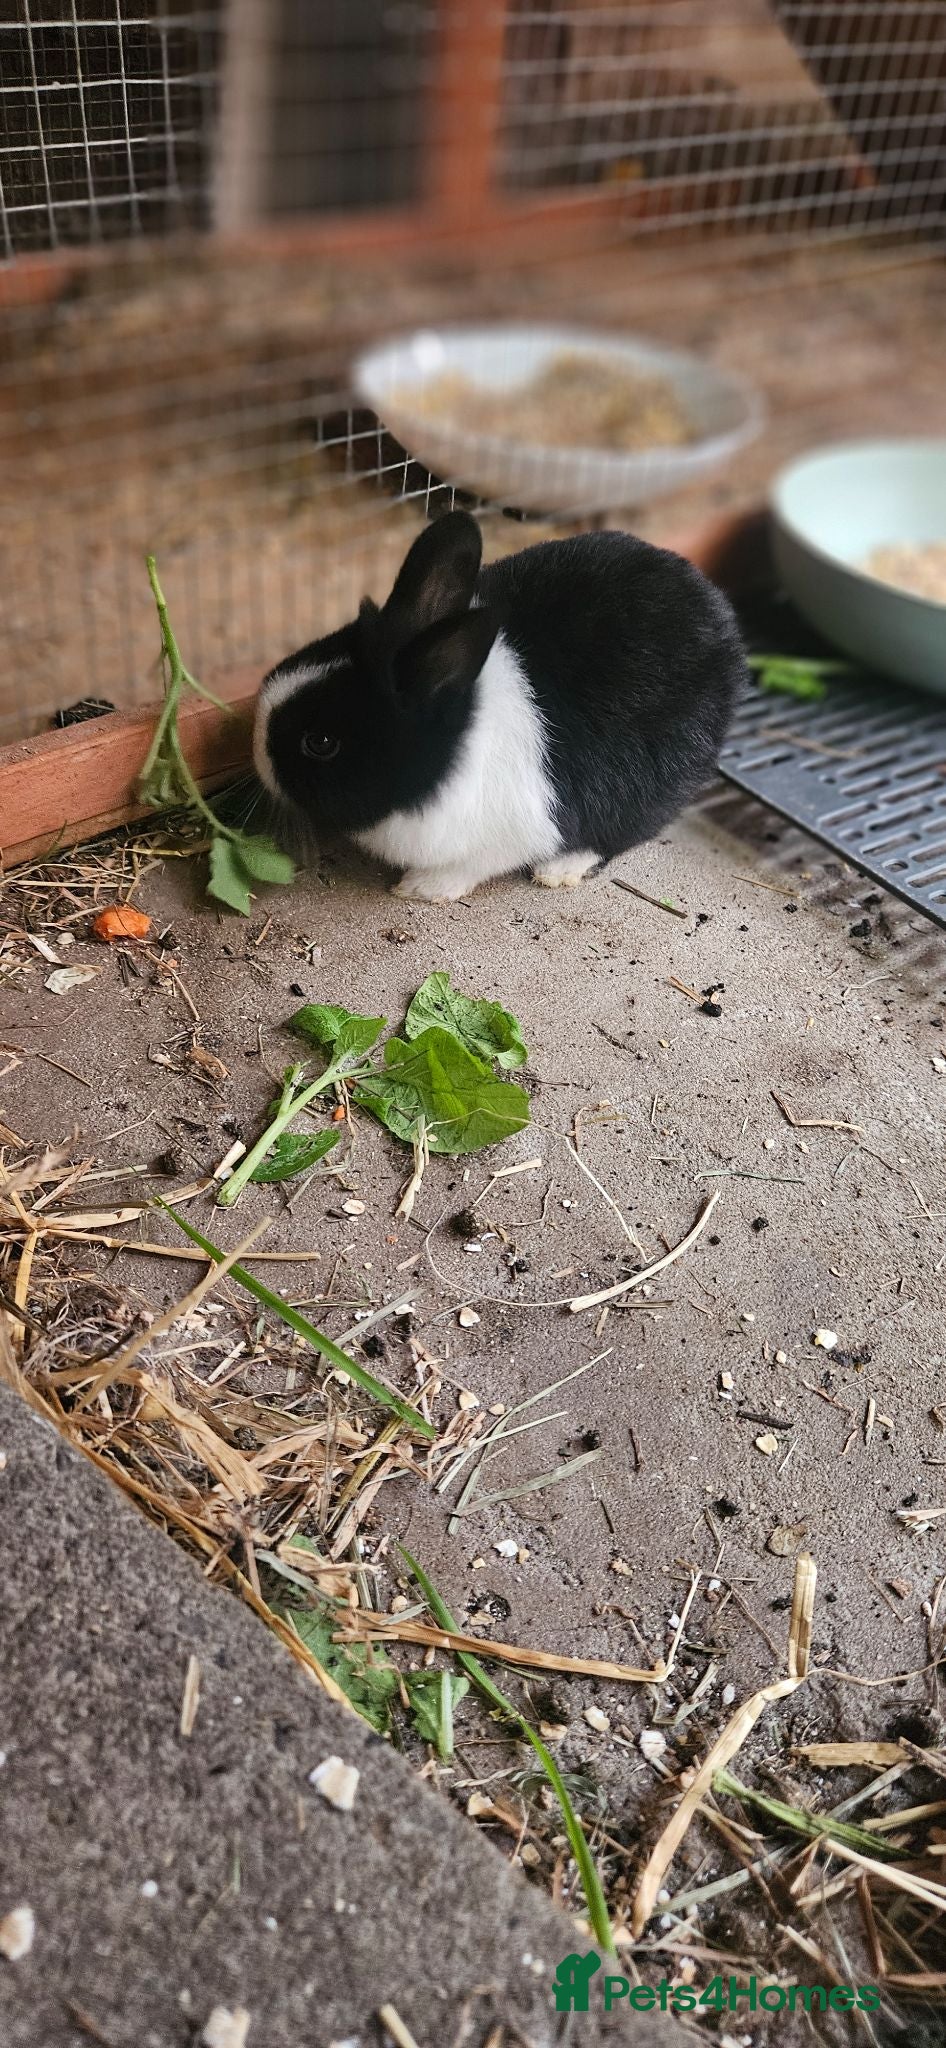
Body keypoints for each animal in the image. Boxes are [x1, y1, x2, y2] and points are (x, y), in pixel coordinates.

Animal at [253, 509, 746, 901]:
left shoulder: (512, 832)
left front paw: (419, 888)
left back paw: (559, 869)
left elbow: (473, 864)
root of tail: (722, 618)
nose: (256, 750)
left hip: (657, 776)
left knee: (632, 827)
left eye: (320, 742)